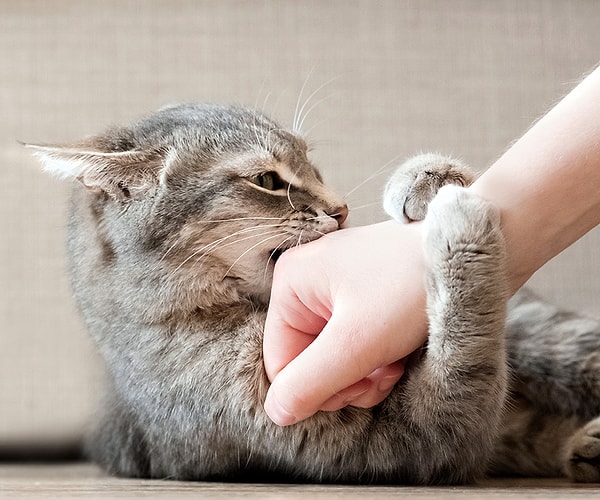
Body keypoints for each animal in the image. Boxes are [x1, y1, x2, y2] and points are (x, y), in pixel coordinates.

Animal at [28, 104, 600, 484]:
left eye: (312, 165)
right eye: (266, 180)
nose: (341, 209)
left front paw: (427, 179)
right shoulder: (412, 443)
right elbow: (465, 359)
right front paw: (460, 230)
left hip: (545, 335)